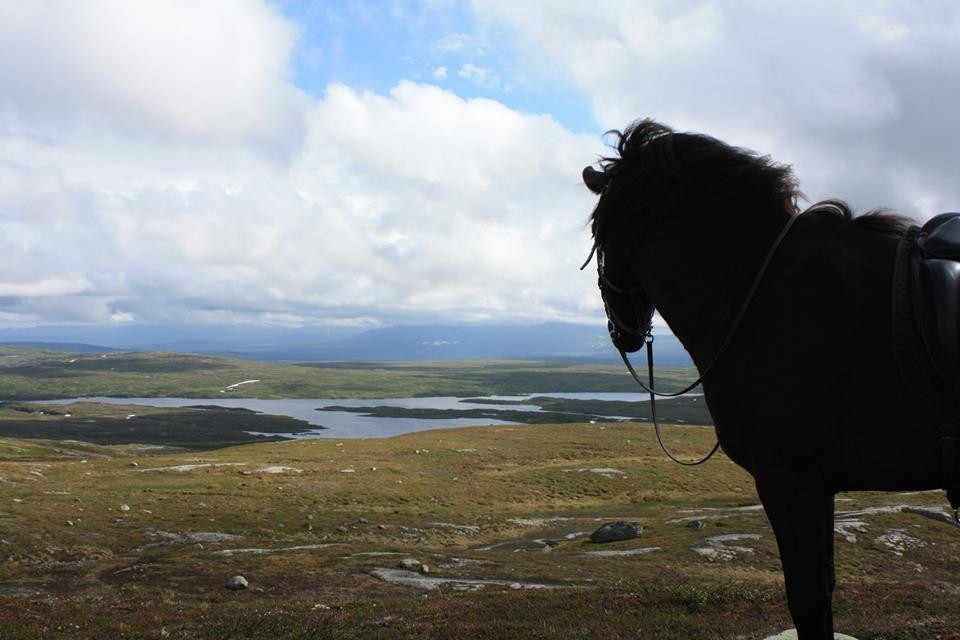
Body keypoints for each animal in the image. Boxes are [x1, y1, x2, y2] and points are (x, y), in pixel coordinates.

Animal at [580, 119, 948, 636]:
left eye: (597, 231)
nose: (623, 333)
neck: (760, 292)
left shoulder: (788, 479)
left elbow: (809, 599)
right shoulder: (820, 484)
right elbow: (825, 588)